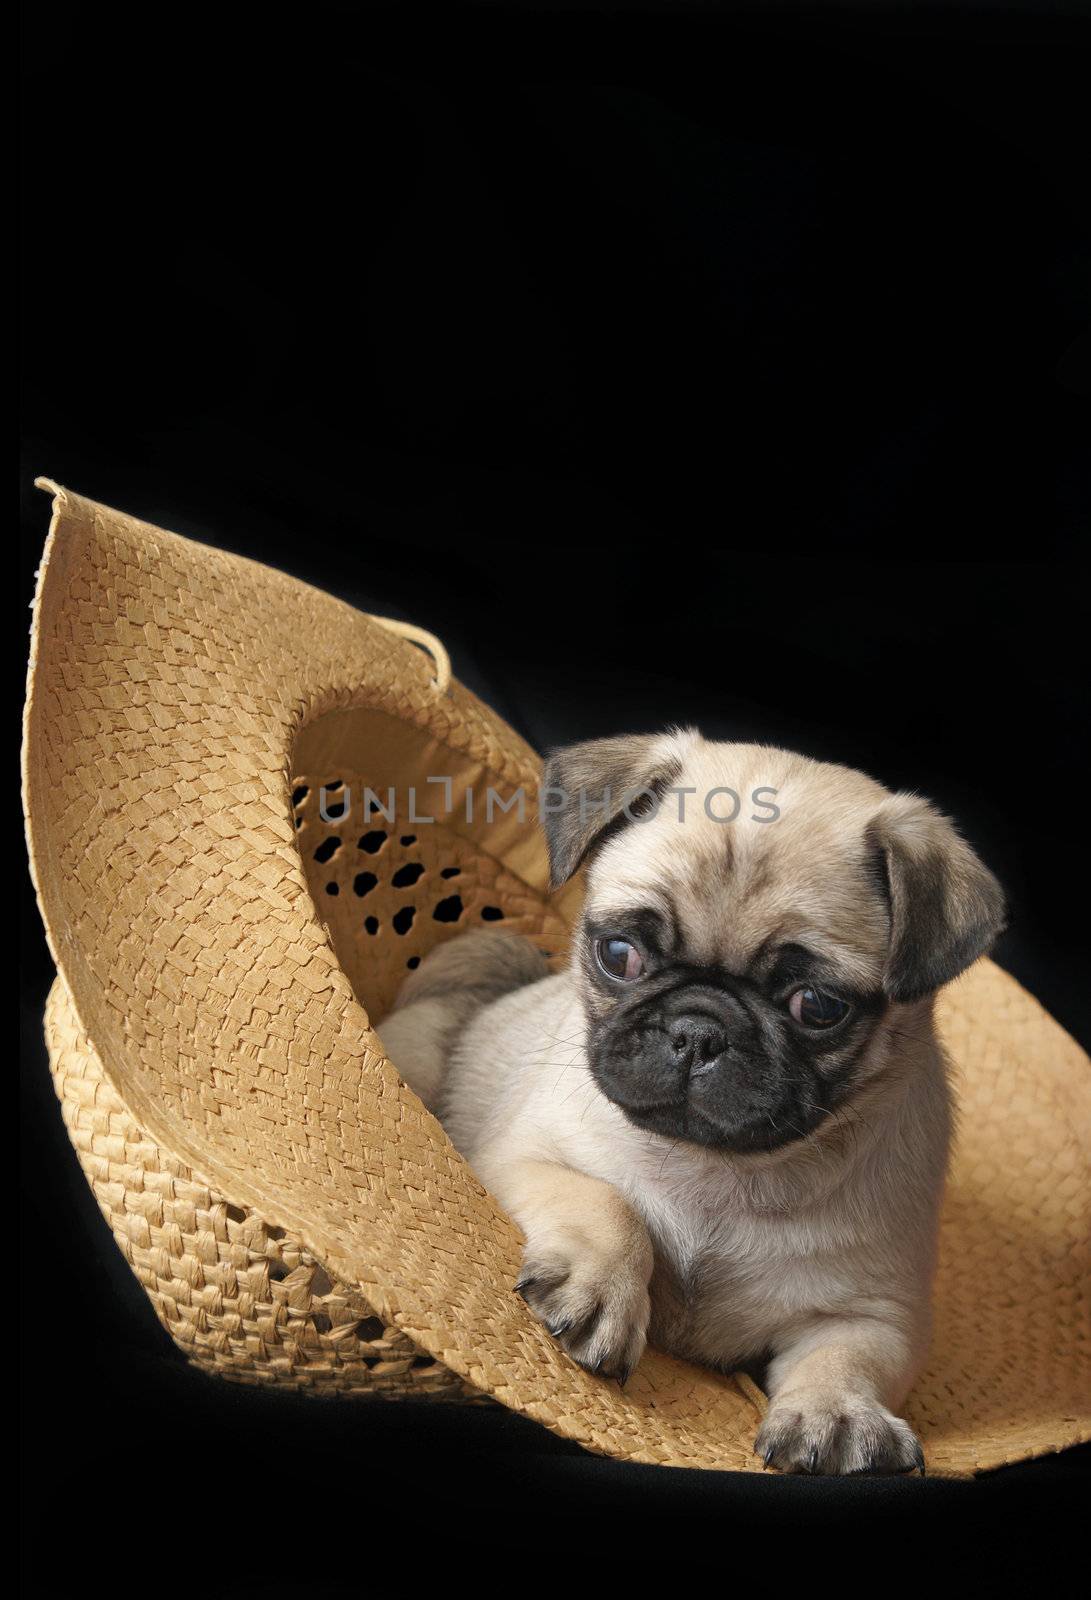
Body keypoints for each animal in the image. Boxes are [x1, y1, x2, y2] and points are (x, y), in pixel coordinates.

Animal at [380, 729, 1004, 1472]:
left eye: (817, 1007)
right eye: (619, 954)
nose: (698, 1029)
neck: (717, 1171)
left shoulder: (878, 1309)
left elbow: (848, 1357)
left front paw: (836, 1413)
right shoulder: (516, 1158)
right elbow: (607, 1202)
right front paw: (602, 1290)